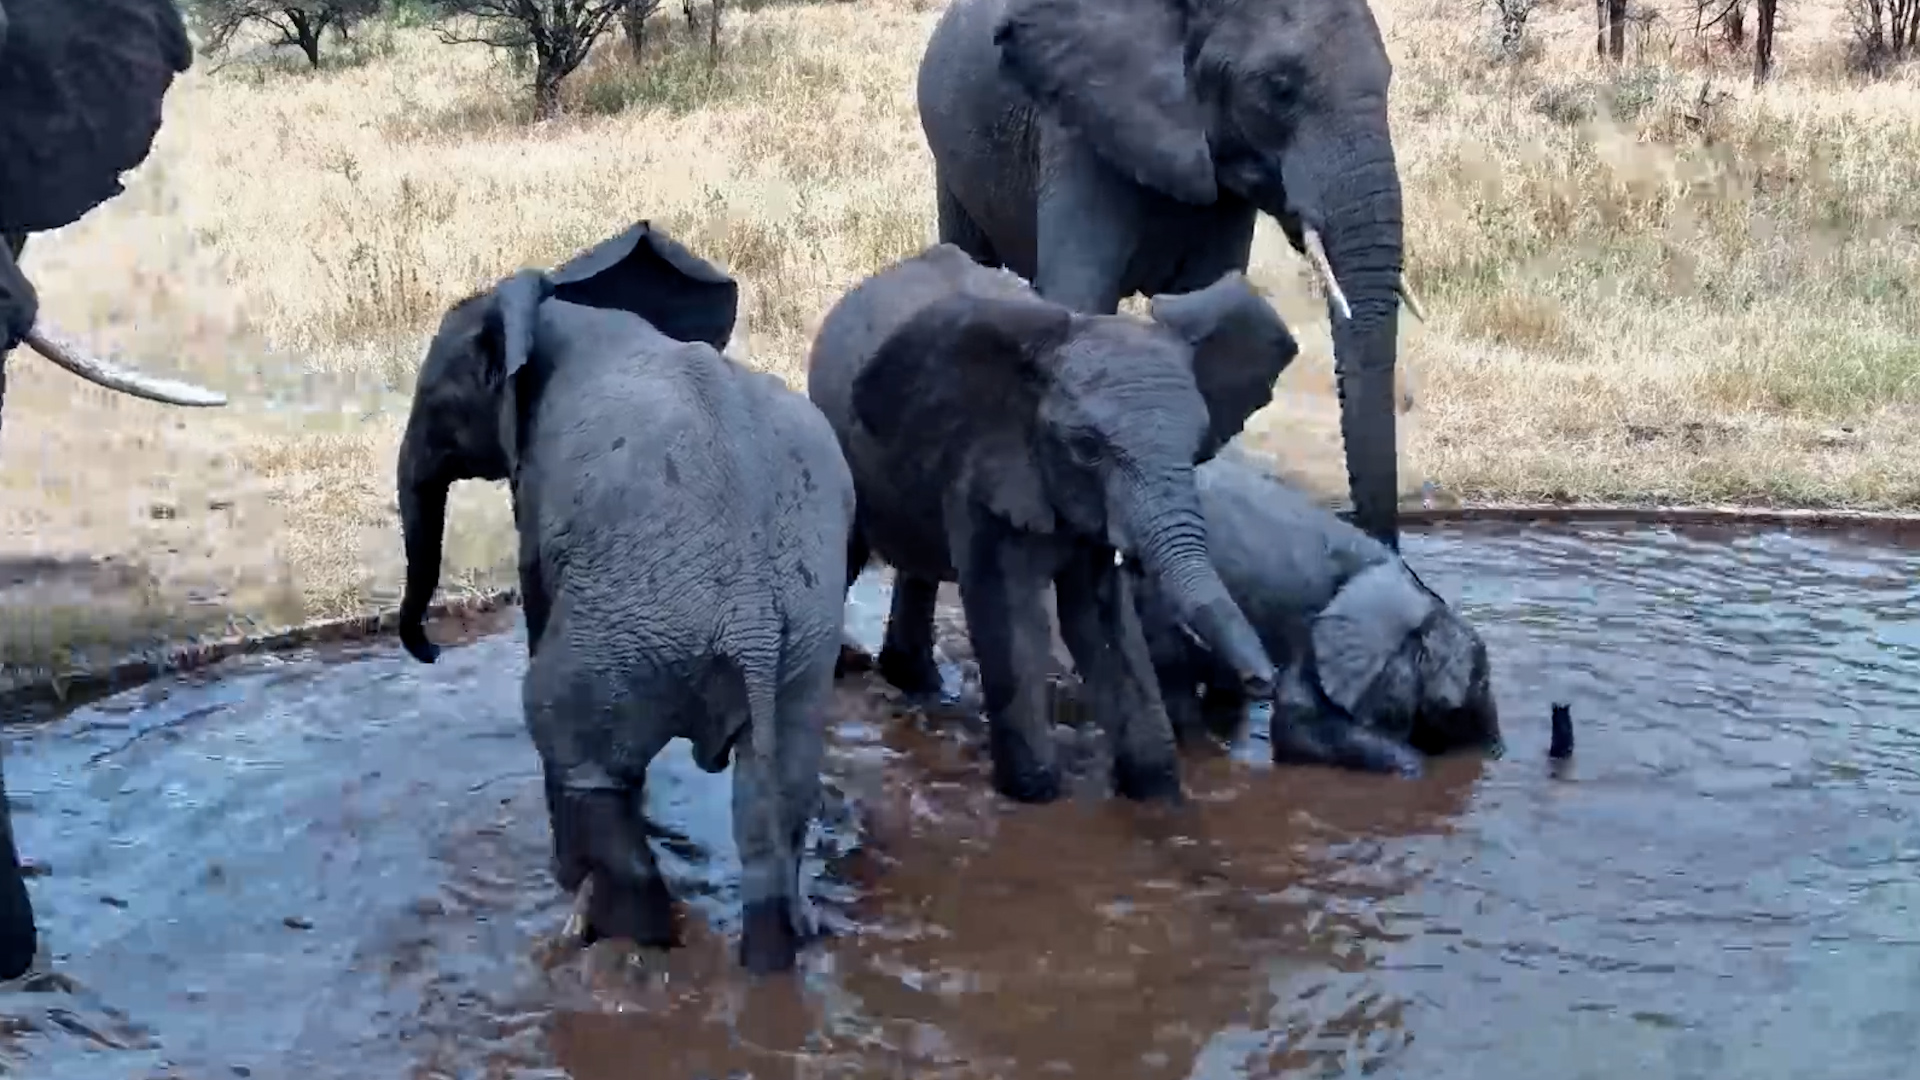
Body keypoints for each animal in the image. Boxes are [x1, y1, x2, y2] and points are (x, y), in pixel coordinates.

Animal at [394, 221, 857, 974]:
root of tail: (753, 619)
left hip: (632, 636)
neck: (561, 302)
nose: (431, 650)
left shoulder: (536, 487)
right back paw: (766, 963)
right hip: (800, 652)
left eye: (435, 398)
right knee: (773, 804)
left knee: (574, 749)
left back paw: (615, 935)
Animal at [808, 242, 1298, 806]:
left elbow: (1100, 619)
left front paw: (1154, 791)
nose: (1263, 682)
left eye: (1197, 448)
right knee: (851, 550)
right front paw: (1035, 792)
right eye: (1086, 449)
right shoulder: (985, 465)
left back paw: (919, 685)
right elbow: (1011, 613)